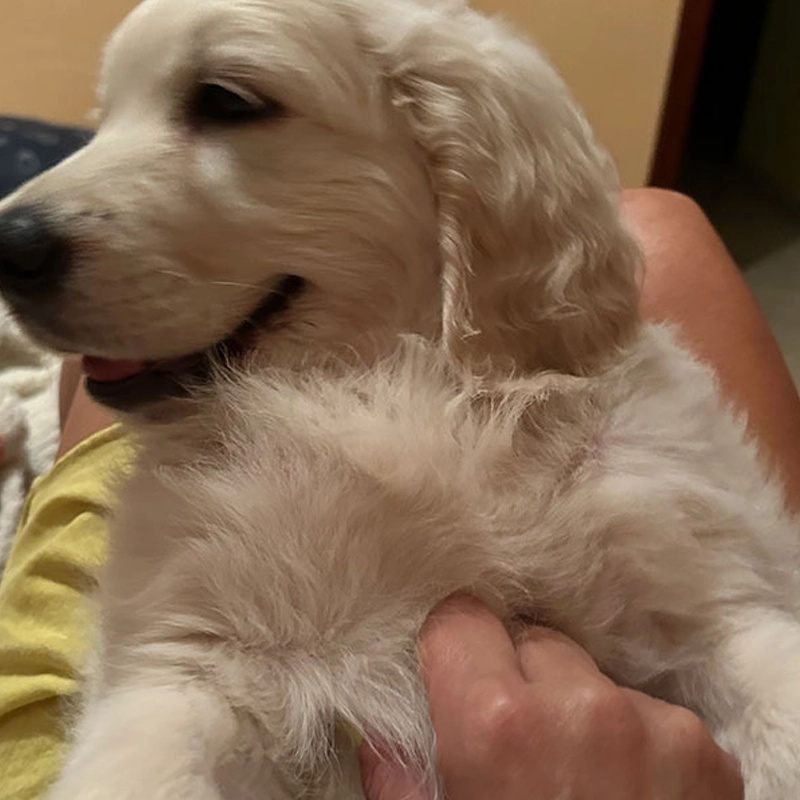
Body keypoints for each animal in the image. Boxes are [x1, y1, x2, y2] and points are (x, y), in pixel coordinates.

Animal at [0, 0, 798, 797]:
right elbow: (149, 765)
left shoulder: (721, 600)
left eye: (226, 101)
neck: (391, 391)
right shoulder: (184, 665)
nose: (8, 245)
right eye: (102, 119)